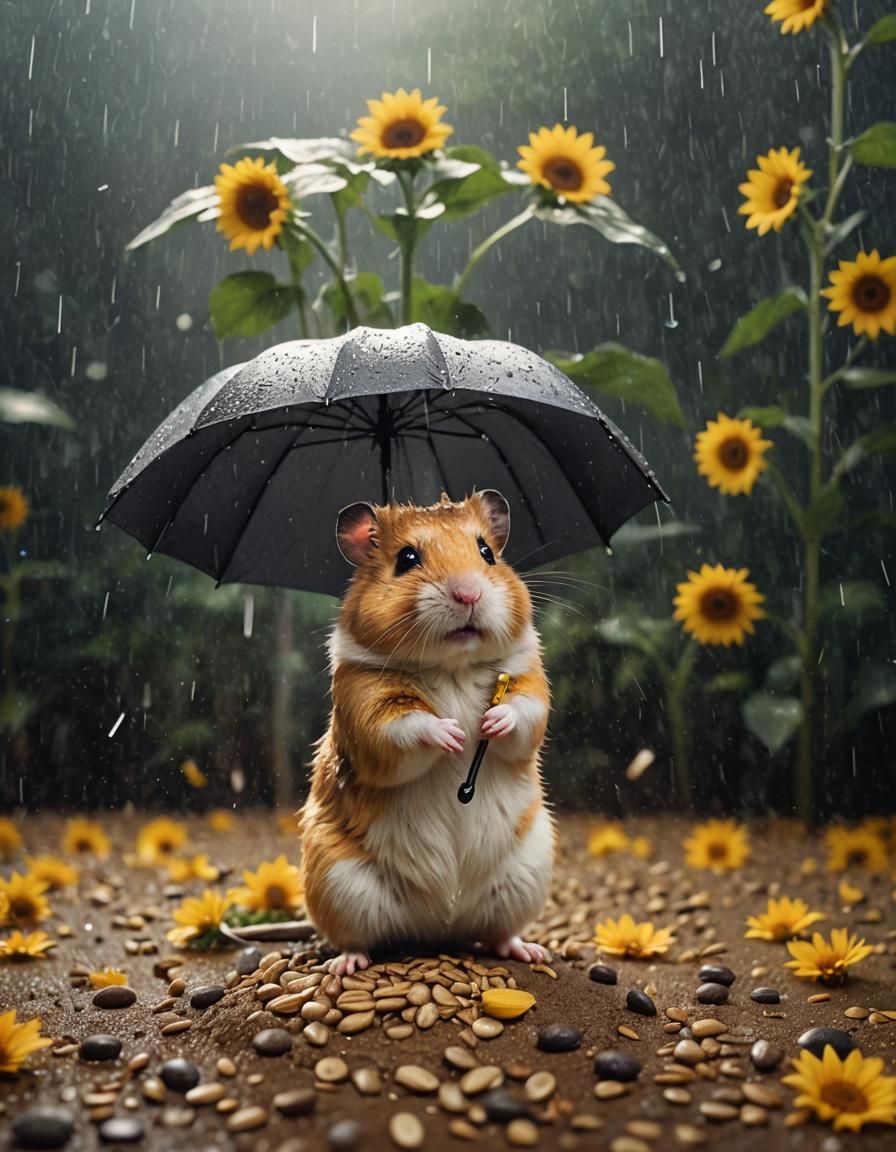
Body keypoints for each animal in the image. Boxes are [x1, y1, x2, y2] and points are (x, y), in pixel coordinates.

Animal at [298, 490, 553, 976]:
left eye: (487, 553)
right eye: (407, 559)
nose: (469, 592)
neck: (452, 666)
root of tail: (440, 927)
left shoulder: (531, 681)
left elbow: (524, 714)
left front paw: (489, 723)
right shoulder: (365, 708)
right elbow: (406, 729)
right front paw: (453, 734)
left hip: (526, 874)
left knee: (498, 934)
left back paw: (529, 951)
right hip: (338, 881)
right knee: (355, 938)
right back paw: (346, 965)